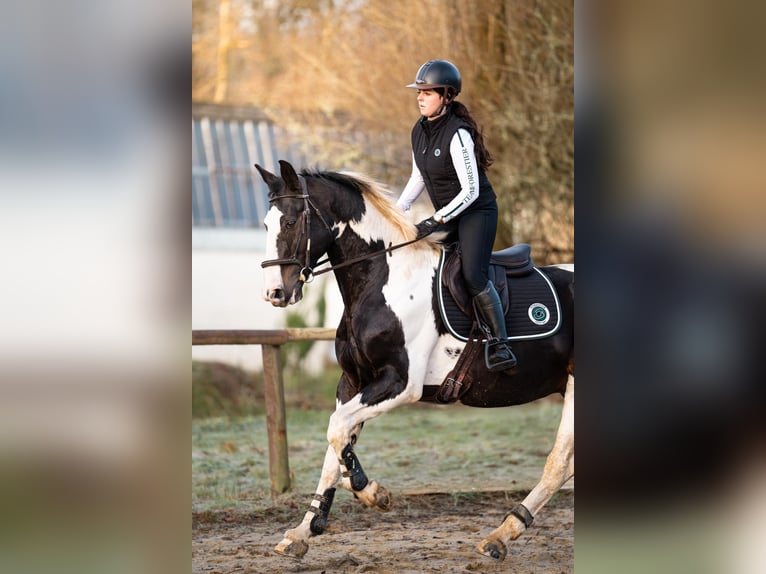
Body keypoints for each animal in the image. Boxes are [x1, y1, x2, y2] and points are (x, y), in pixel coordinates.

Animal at [255, 160, 572, 564]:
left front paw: (371, 491)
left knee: (559, 462)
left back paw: (501, 534)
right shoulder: (353, 383)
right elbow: (335, 446)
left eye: (293, 221)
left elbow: (337, 431)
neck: (382, 280)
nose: (275, 293)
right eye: (267, 225)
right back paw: (502, 535)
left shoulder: (400, 384)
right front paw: (303, 530)